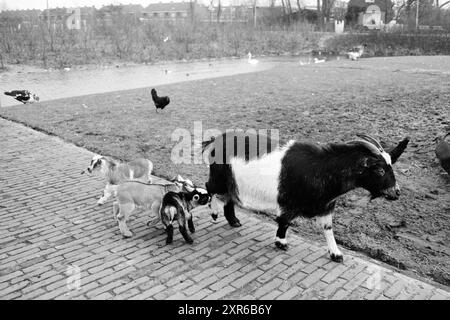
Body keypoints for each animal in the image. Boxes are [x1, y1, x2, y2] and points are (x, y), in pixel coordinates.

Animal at [202, 131, 410, 262]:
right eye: (380, 170)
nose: (396, 192)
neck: (321, 168)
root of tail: (215, 140)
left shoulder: (326, 205)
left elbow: (328, 228)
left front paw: (336, 254)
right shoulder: (289, 202)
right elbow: (285, 222)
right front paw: (281, 243)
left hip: (231, 182)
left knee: (229, 197)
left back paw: (234, 221)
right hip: (219, 176)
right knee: (209, 188)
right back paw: (214, 214)